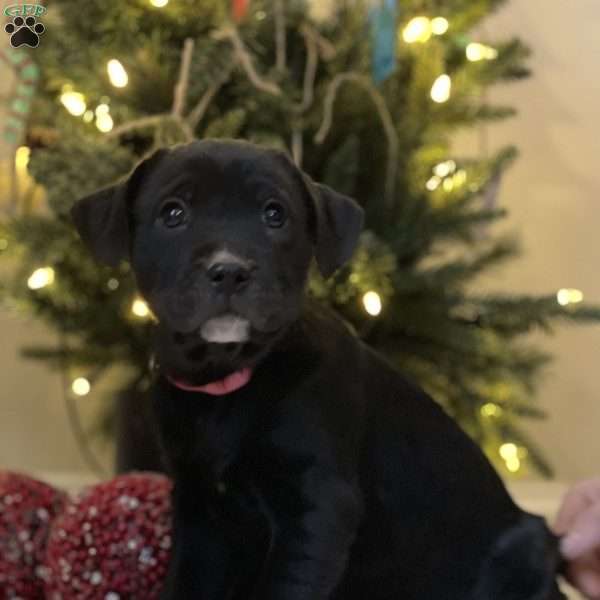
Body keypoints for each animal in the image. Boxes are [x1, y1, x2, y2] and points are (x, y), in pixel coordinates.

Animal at [72, 141, 564, 600]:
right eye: (173, 213)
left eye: (275, 214)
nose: (229, 270)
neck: (228, 378)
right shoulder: (200, 516)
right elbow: (185, 587)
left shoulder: (317, 510)